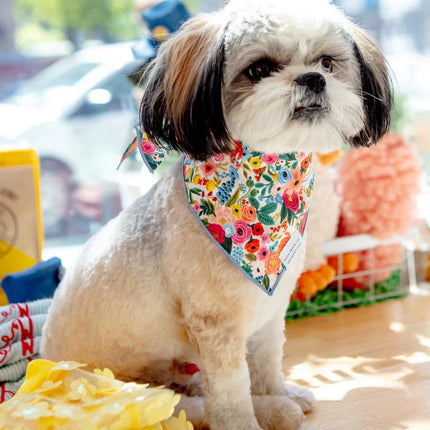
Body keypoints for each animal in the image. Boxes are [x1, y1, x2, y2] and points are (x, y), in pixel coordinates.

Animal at [42, 1, 392, 428]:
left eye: (327, 62)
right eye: (259, 69)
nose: (312, 79)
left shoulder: (268, 317)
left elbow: (266, 366)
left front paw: (277, 391)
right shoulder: (216, 327)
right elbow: (230, 395)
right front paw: (250, 418)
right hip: (121, 392)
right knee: (189, 407)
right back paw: (271, 410)